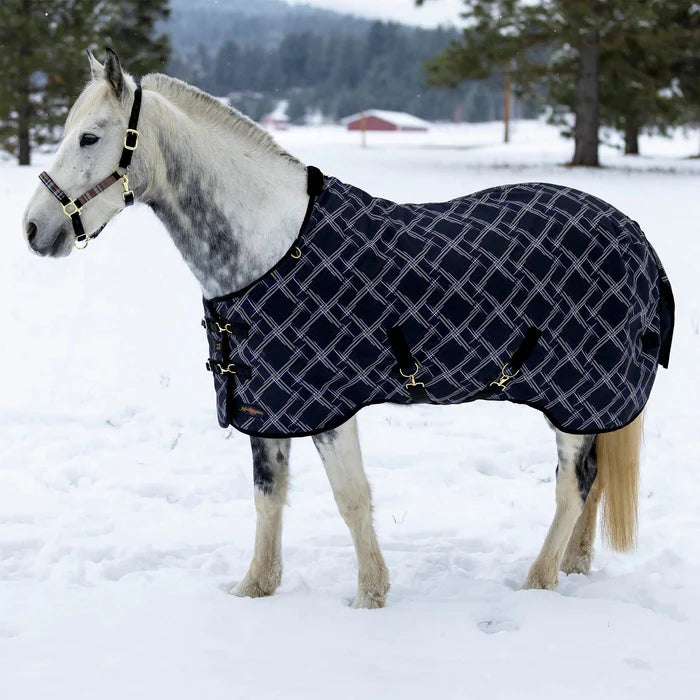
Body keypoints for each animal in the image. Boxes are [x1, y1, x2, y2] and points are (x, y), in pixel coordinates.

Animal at [22, 49, 672, 608]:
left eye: (90, 136)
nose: (33, 228)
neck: (270, 248)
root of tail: (636, 237)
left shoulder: (329, 407)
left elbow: (351, 499)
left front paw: (369, 598)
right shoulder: (270, 408)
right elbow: (268, 498)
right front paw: (255, 589)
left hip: (573, 398)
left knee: (572, 487)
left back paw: (538, 581)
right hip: (583, 408)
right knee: (592, 484)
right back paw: (573, 567)